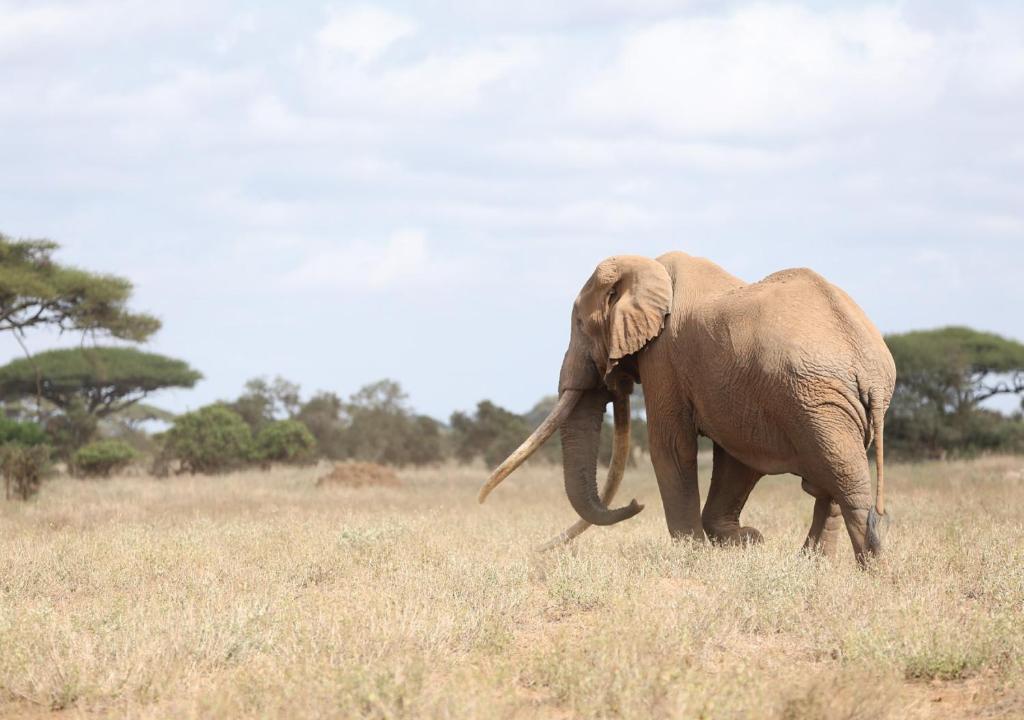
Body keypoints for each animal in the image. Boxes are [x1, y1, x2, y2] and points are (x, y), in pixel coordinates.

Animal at [478, 252, 896, 564]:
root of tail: (870, 365)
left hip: (815, 399)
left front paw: (694, 553)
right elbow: (735, 458)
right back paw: (811, 566)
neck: (648, 267)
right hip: (822, 403)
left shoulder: (665, 358)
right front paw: (744, 541)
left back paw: (871, 572)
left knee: (844, 483)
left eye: (580, 324)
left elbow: (672, 448)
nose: (635, 502)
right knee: (832, 484)